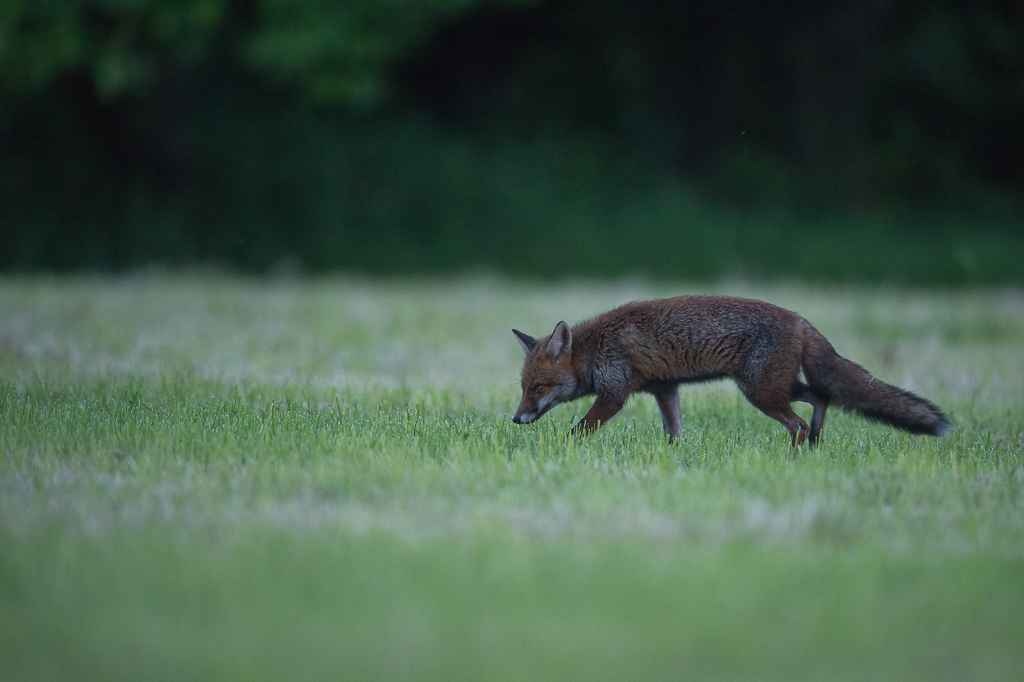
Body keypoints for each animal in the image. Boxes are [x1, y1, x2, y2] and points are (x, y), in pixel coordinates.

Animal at [511, 295, 952, 447]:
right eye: (524, 387)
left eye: (538, 388)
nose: (515, 420)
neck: (595, 349)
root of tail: (801, 320)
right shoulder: (665, 389)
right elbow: (674, 431)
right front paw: (675, 461)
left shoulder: (614, 395)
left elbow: (578, 431)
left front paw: (564, 452)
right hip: (776, 387)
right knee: (821, 397)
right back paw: (816, 443)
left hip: (760, 393)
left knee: (797, 423)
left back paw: (794, 456)